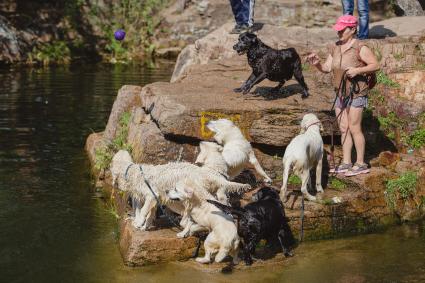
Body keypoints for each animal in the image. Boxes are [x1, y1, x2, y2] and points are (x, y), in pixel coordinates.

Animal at [109, 143, 250, 232]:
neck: (133, 173)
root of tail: (207, 173)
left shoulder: (151, 194)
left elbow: (144, 210)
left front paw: (138, 224)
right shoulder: (155, 198)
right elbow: (150, 213)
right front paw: (145, 226)